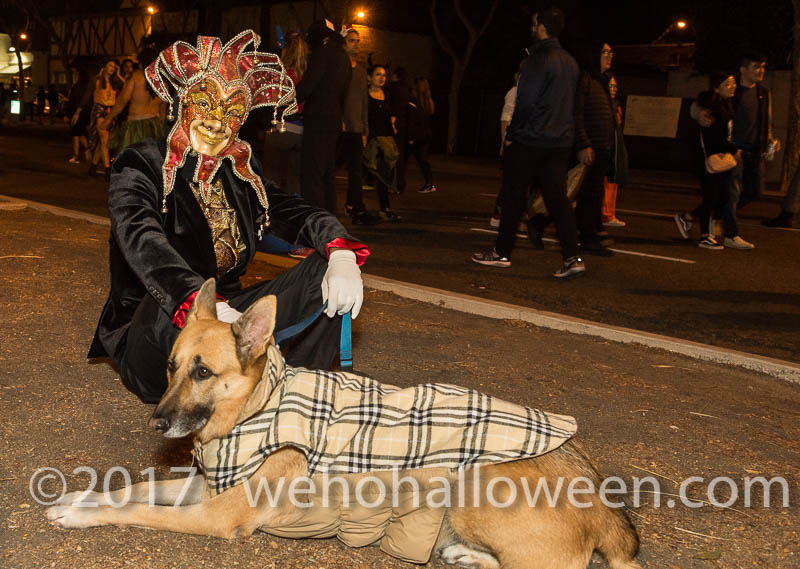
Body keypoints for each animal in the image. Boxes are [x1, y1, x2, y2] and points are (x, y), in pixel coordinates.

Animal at [47, 278, 640, 564]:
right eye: (170, 367)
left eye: (203, 371)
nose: (157, 423)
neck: (257, 406)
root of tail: (604, 502)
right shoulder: (205, 487)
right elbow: (133, 489)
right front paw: (78, 498)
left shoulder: (217, 514)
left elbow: (138, 510)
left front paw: (80, 516)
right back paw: (462, 555)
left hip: (472, 486)